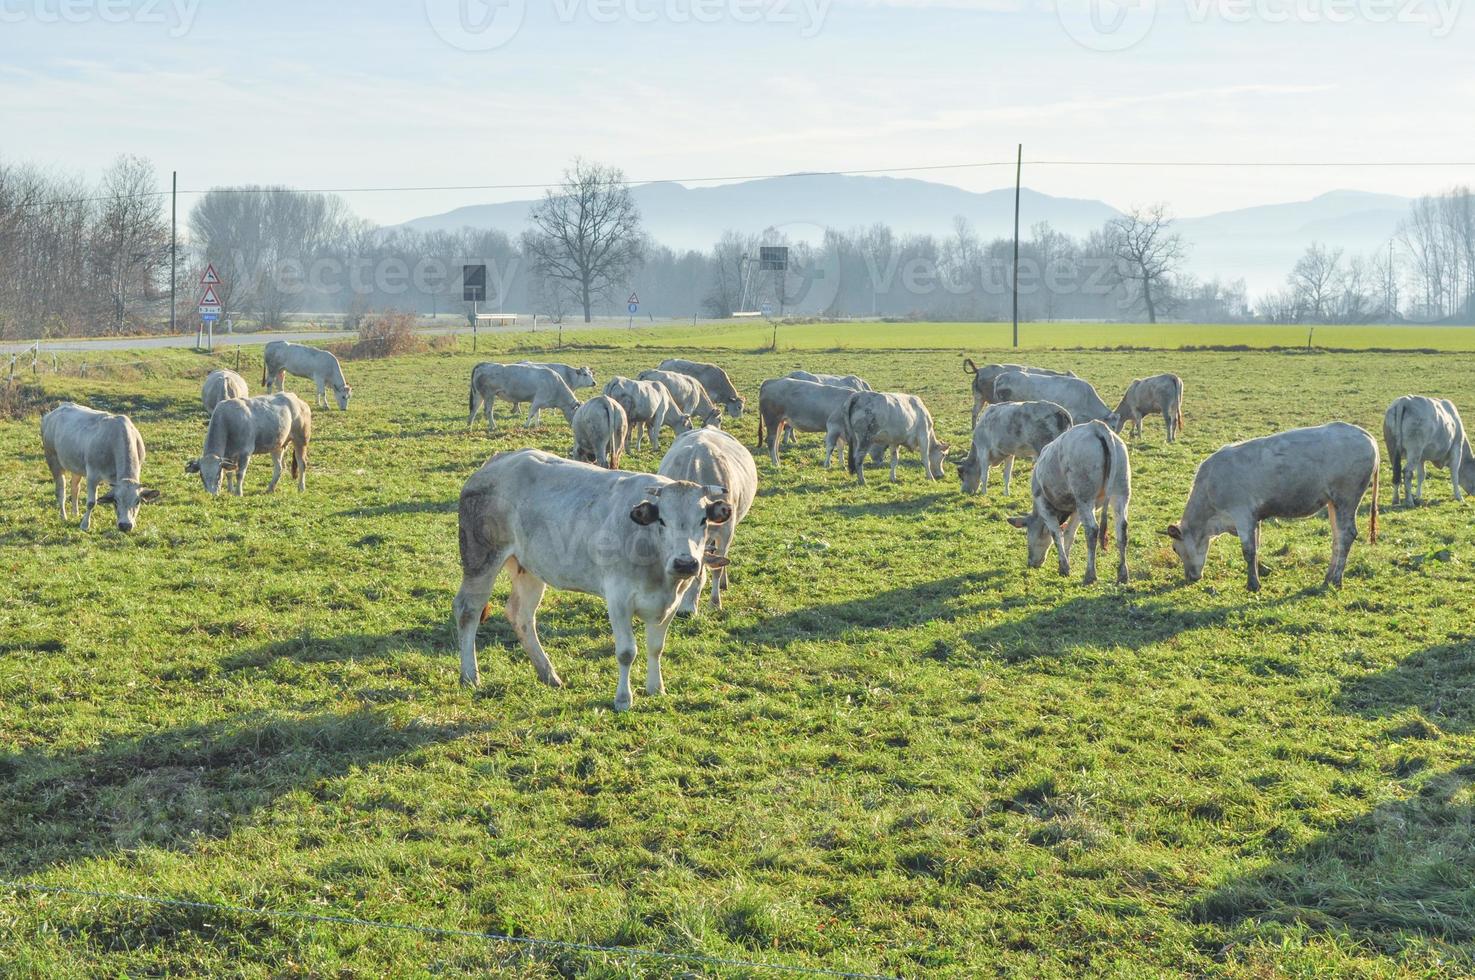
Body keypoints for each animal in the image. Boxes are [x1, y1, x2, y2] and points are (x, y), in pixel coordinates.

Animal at [40, 401, 161, 531]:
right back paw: (63, 516)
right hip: (53, 459)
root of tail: (54, 411)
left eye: (138, 501)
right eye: (116, 501)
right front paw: (85, 525)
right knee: (61, 490)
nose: (125, 525)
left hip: (76, 465)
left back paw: (75, 513)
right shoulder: (92, 474)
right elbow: (91, 502)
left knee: (75, 488)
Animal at [451, 448, 734, 708]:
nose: (685, 562)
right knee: (468, 610)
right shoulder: (618, 598)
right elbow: (626, 652)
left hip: (529, 569)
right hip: (481, 558)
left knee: (520, 616)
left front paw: (656, 689)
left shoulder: (671, 602)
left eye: (703, 520)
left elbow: (656, 647)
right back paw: (470, 676)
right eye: (662, 520)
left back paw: (548, 674)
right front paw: (623, 699)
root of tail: (497, 461)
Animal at [1008, 419, 1132, 581]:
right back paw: (1123, 574)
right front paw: (1065, 562)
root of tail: (1096, 426)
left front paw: (1064, 567)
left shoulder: (1043, 504)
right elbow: (1069, 534)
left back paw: (1090, 575)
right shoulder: (1076, 509)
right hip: (1120, 493)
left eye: (1027, 534)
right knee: (1121, 529)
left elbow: (1056, 534)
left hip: (1085, 497)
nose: (1031, 563)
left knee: (1092, 530)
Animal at [1162, 422, 1380, 590]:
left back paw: (1336, 579)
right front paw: (1262, 571)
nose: (1190, 577)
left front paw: (1253, 584)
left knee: (1346, 535)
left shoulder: (1242, 515)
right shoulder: (1254, 517)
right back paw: (1327, 578)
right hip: (1334, 503)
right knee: (1337, 537)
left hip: (1346, 499)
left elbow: (1248, 551)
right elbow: (1256, 547)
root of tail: (1364, 434)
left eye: (1175, 549)